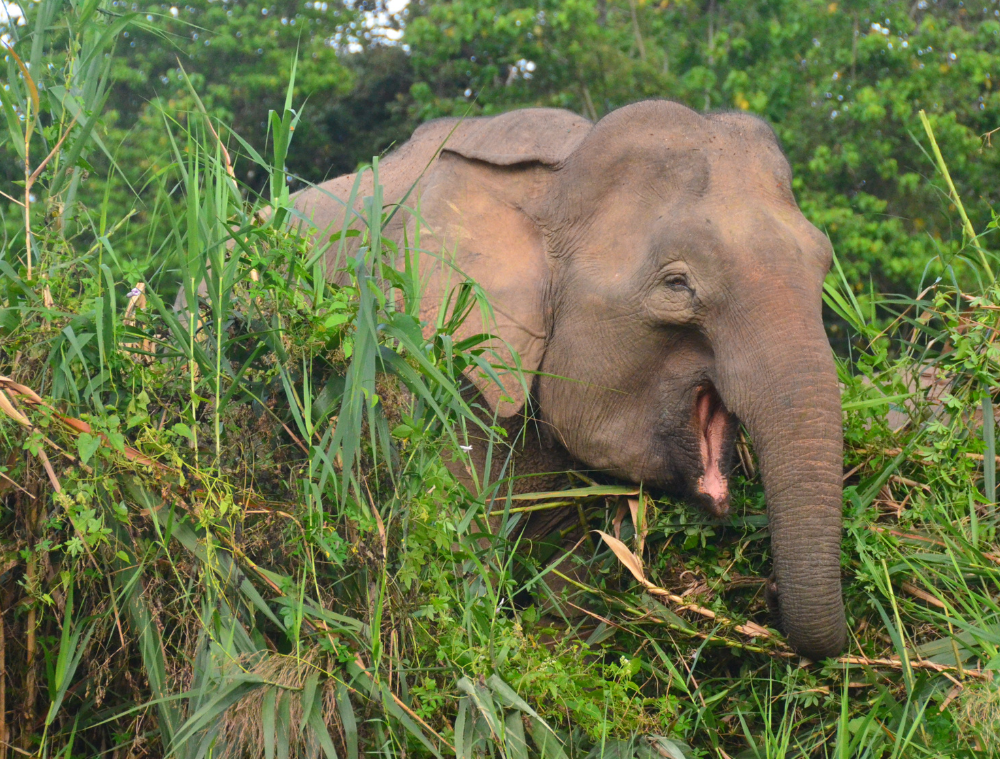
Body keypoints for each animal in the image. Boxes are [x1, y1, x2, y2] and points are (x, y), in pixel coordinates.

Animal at [232, 99, 844, 660]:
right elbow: (456, 549)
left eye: (822, 264)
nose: (766, 592)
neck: (559, 174)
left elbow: (569, 583)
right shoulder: (419, 366)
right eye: (678, 284)